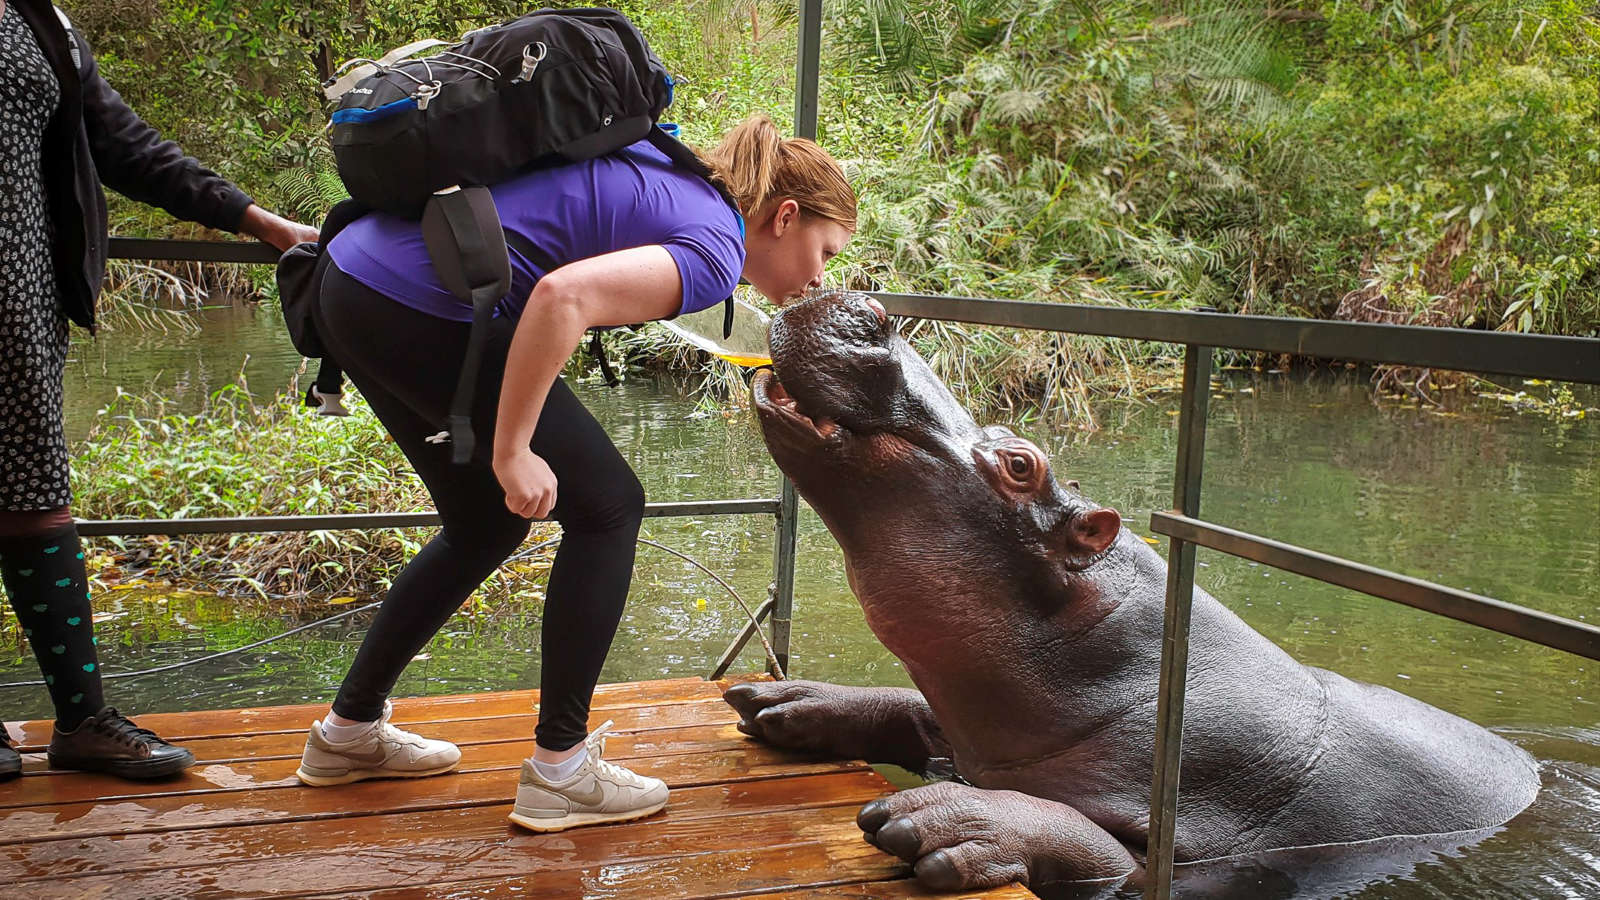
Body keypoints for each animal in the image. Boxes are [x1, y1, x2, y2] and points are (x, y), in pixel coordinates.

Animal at [724, 290, 1540, 898]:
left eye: (1021, 465)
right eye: (1005, 430)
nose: (869, 307)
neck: (1120, 665)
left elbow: (1106, 853)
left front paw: (950, 820)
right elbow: (917, 711)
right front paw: (786, 701)